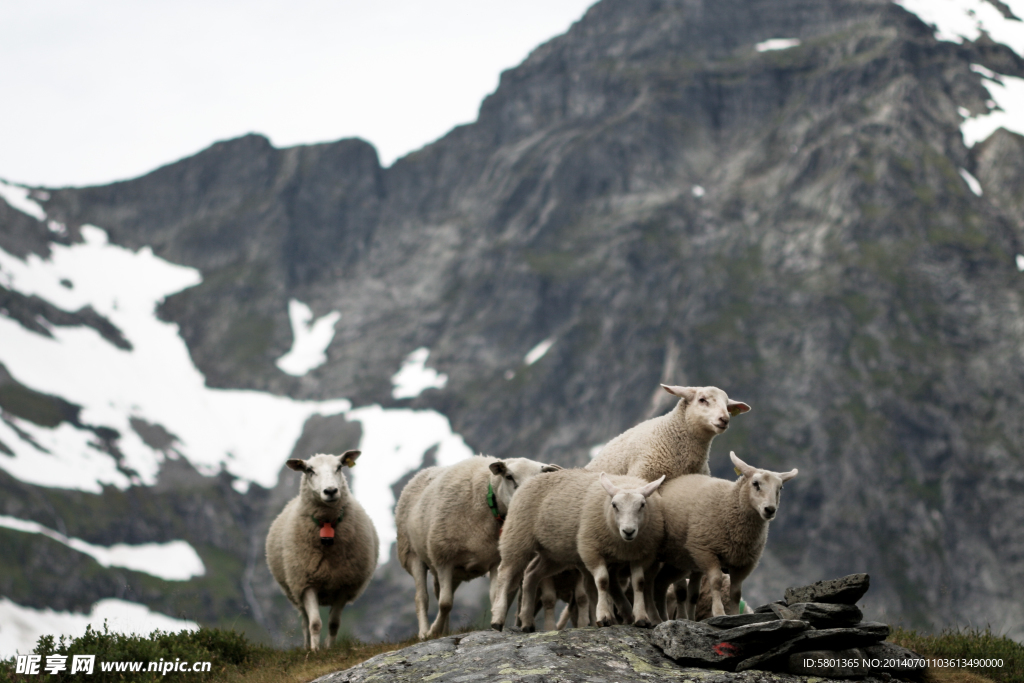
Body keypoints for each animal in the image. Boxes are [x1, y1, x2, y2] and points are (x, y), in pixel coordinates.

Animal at [266, 450, 378, 655]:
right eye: (309, 470)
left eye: (339, 467)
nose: (331, 491)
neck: (327, 526)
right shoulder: (307, 582)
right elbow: (315, 623)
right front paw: (315, 651)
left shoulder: (344, 584)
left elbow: (333, 623)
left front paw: (329, 648)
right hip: (295, 590)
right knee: (305, 622)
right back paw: (306, 646)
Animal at [393, 454, 569, 643]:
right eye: (509, 476)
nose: (526, 498)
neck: (488, 501)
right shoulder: (443, 557)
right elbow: (445, 603)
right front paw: (433, 631)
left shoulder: (494, 561)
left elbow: (494, 595)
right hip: (412, 554)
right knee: (422, 598)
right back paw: (425, 632)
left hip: (454, 572)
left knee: (438, 592)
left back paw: (443, 631)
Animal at [487, 473, 663, 634]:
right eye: (614, 505)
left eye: (642, 504)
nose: (628, 531)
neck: (624, 545)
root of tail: (531, 479)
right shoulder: (591, 550)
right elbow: (602, 581)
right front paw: (604, 617)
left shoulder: (640, 554)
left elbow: (639, 583)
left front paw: (641, 618)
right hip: (517, 536)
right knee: (505, 573)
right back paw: (497, 619)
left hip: (554, 554)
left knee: (531, 574)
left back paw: (527, 622)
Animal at [655, 450, 798, 622]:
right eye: (755, 483)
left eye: (780, 487)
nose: (770, 509)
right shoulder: (705, 551)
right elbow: (716, 581)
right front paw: (719, 612)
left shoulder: (744, 562)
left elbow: (736, 592)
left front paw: (735, 615)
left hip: (680, 561)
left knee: (662, 584)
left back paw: (665, 617)